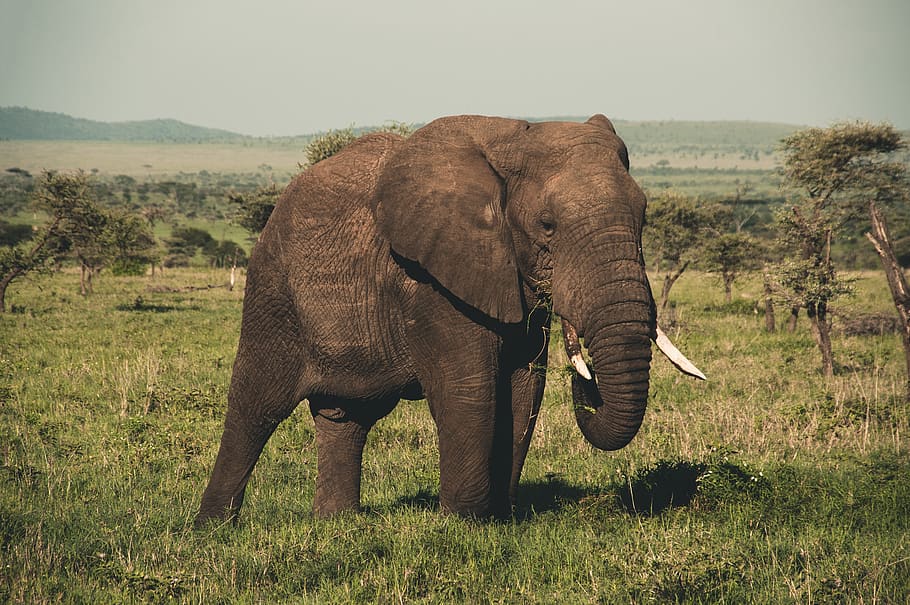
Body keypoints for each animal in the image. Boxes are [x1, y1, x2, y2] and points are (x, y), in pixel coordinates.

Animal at [195, 114, 704, 525]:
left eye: (644, 217)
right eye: (547, 225)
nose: (588, 377)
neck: (513, 138)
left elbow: (524, 390)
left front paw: (500, 518)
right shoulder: (430, 282)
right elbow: (469, 387)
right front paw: (463, 524)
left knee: (347, 417)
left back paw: (338, 524)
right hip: (273, 290)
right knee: (256, 405)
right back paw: (213, 528)